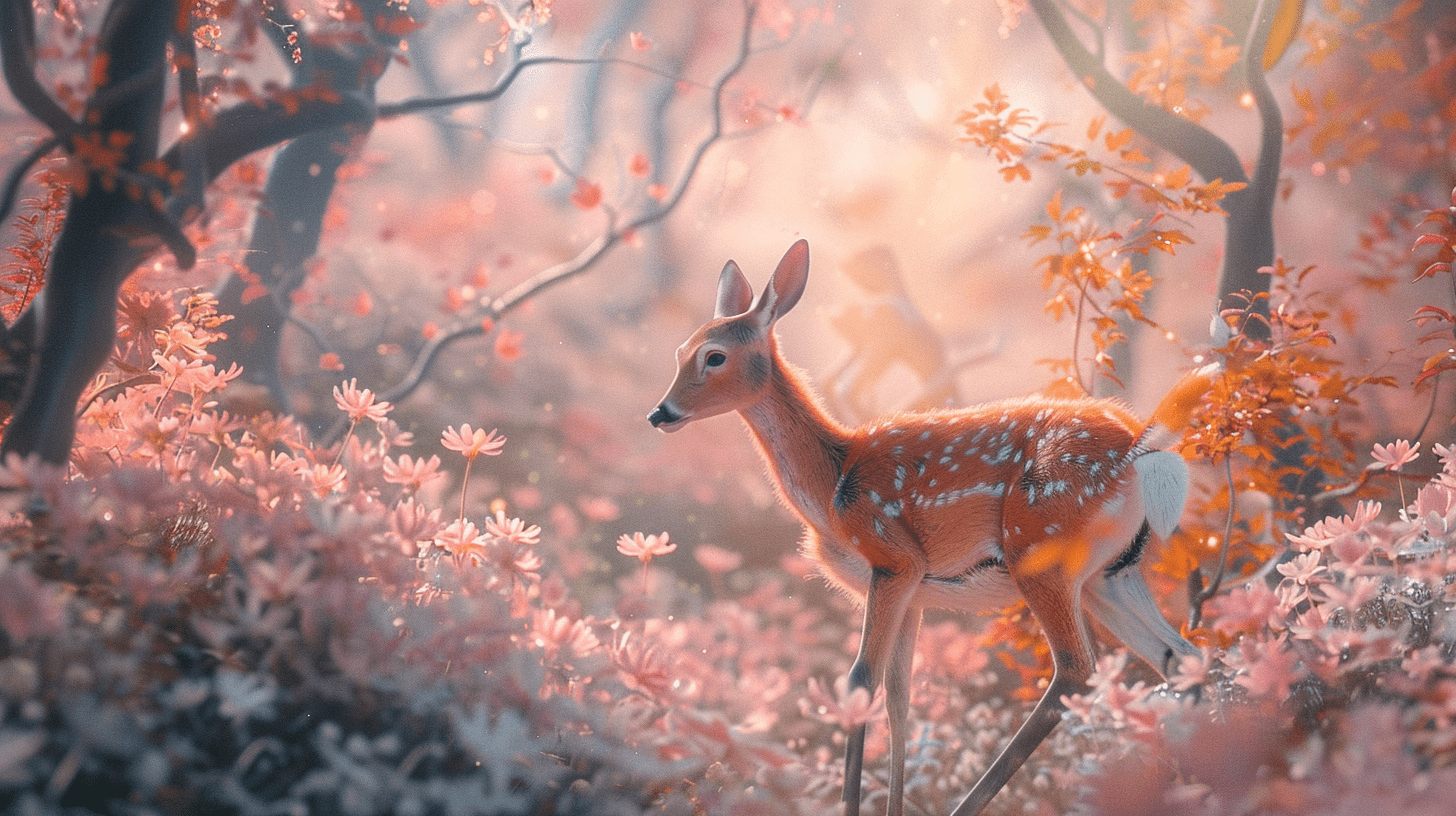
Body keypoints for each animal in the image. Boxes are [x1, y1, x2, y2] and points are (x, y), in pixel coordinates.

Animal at [648, 239, 1219, 816]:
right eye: (678, 353)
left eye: (714, 356)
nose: (660, 413)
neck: (832, 484)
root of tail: (1140, 447)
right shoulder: (915, 592)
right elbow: (900, 697)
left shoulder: (893, 559)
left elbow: (860, 680)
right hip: (1111, 574)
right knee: (1182, 658)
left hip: (1040, 550)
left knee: (1077, 673)